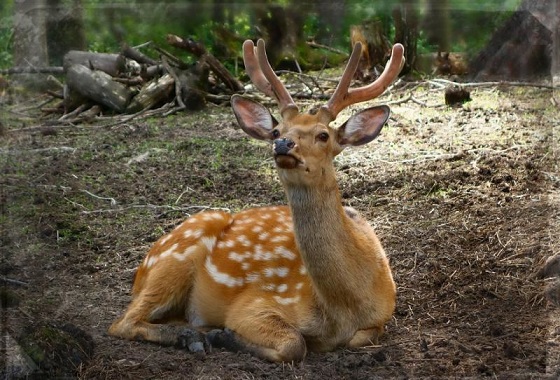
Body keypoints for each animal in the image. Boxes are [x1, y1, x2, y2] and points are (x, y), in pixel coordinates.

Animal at [107, 37, 404, 362]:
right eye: (275, 130)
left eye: (324, 135)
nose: (283, 143)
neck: (344, 308)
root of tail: (140, 271)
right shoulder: (254, 303)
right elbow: (294, 343)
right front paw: (224, 335)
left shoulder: (383, 315)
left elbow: (359, 337)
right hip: (175, 257)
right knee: (122, 322)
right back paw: (193, 336)